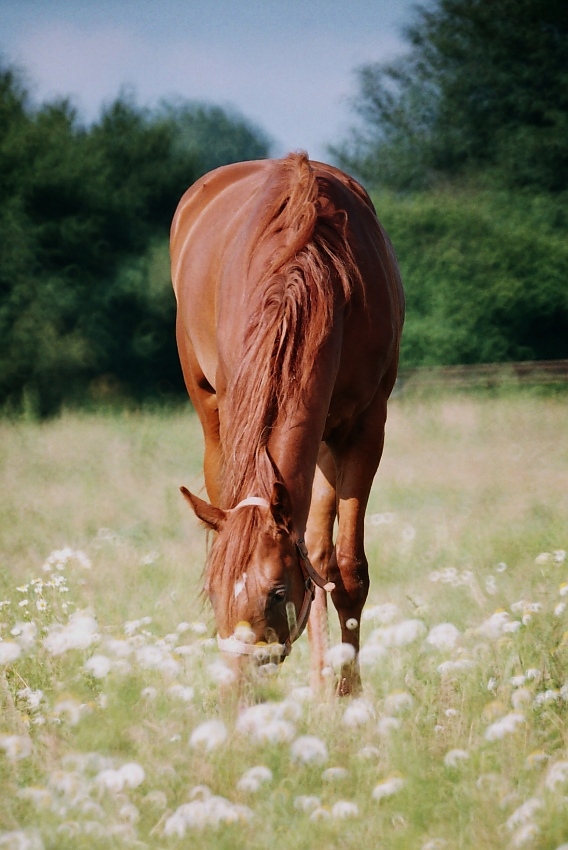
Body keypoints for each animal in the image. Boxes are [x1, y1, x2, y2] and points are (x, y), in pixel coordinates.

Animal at [170, 154, 404, 696]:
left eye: (277, 592)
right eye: (212, 590)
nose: (238, 687)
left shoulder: (364, 430)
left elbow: (347, 571)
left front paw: (345, 695)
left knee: (320, 552)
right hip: (215, 420)